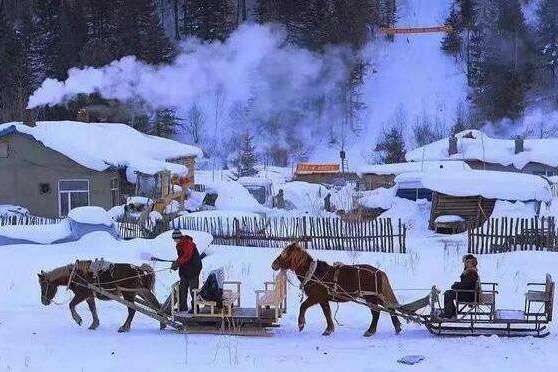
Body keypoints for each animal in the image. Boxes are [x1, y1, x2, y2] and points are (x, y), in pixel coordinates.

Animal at [272, 243, 400, 336]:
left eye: (284, 254)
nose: (273, 265)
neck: (314, 273)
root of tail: (379, 272)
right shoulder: (323, 299)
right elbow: (327, 313)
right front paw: (329, 329)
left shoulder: (316, 297)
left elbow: (303, 306)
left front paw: (301, 324)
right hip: (377, 297)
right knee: (390, 309)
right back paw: (397, 327)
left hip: (371, 298)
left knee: (376, 313)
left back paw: (370, 331)